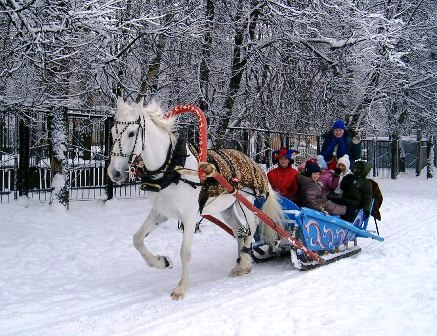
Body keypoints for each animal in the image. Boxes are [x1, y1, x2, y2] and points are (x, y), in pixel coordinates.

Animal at [106, 97, 282, 300]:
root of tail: (251, 159)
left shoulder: (189, 216)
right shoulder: (160, 213)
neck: (173, 168)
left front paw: (181, 288)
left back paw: (245, 261)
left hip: (245, 201)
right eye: (112, 131)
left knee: (251, 227)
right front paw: (162, 262)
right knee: (239, 230)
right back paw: (239, 265)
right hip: (226, 208)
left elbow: (185, 252)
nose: (114, 173)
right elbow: (137, 239)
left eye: (131, 133)